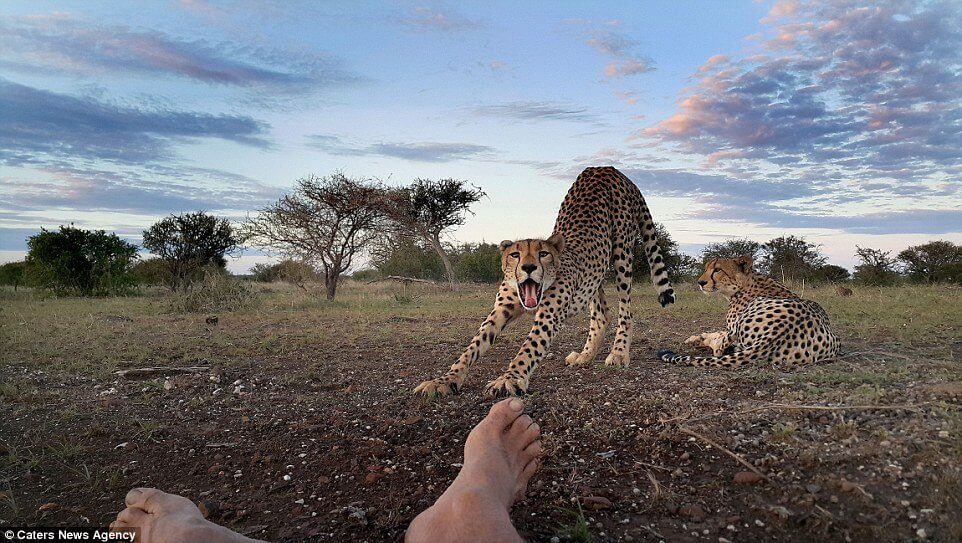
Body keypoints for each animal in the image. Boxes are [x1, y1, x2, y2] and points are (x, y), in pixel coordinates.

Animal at [412, 166, 676, 400]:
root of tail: (608, 168)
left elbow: (529, 347)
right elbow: (473, 346)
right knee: (601, 313)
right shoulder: (500, 310)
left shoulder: (549, 315)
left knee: (625, 311)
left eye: (543, 254)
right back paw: (586, 355)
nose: (529, 268)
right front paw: (444, 380)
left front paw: (509, 378)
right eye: (515, 255)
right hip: (597, 272)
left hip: (622, 252)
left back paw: (619, 352)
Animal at [656, 256, 836, 370]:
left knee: (720, 348)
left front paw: (699, 339)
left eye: (717, 270)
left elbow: (720, 338)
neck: (746, 283)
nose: (701, 282)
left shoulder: (732, 326)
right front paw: (696, 338)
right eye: (706, 269)